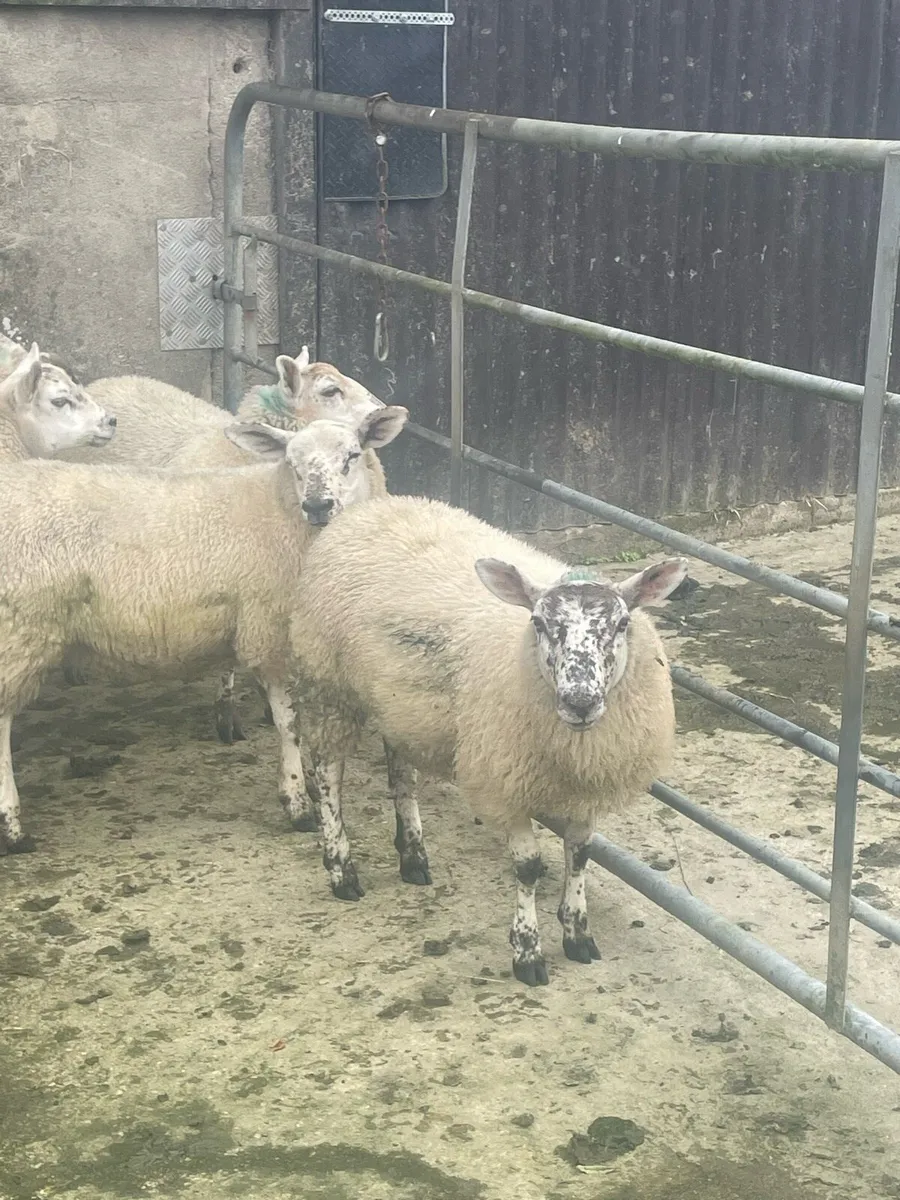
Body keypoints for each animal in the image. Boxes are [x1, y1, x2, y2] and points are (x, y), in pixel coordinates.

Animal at [0, 405, 409, 856]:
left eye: (351, 455)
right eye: (293, 463)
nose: (317, 505)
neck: (281, 509)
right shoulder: (270, 630)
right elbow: (290, 724)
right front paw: (297, 801)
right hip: (19, 628)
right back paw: (13, 829)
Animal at [288, 495, 687, 985]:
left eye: (622, 623)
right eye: (538, 622)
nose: (580, 702)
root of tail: (376, 504)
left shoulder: (585, 784)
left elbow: (581, 854)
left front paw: (577, 934)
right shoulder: (503, 783)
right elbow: (527, 868)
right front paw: (528, 953)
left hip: (396, 703)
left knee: (401, 773)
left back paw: (413, 855)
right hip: (327, 683)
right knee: (329, 775)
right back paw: (341, 868)